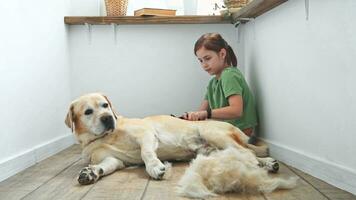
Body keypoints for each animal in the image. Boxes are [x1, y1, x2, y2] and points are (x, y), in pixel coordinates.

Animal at [65, 93, 280, 185]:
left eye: (105, 105)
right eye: (88, 111)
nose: (108, 118)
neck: (105, 137)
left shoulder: (145, 134)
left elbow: (146, 153)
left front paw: (155, 168)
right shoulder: (114, 159)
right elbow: (104, 166)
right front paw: (91, 173)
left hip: (213, 135)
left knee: (248, 153)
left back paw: (264, 164)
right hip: (215, 150)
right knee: (246, 154)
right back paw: (269, 163)